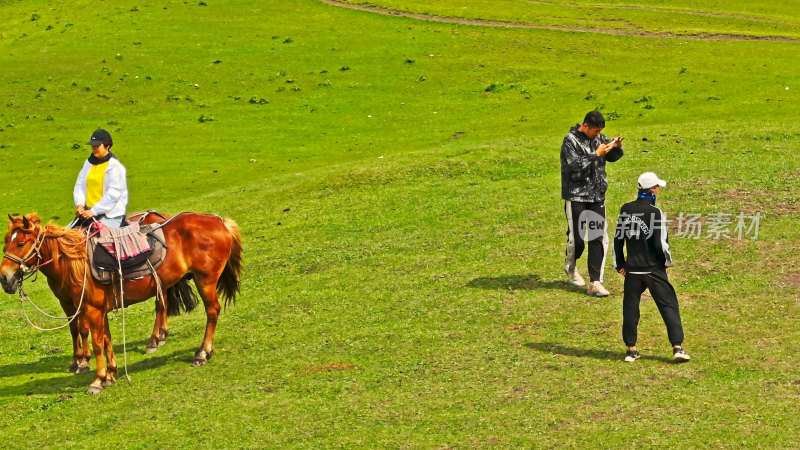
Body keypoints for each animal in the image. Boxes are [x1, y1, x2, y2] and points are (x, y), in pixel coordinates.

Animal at [1, 211, 242, 394]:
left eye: (20, 243)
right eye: (5, 243)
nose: (4, 277)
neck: (77, 262)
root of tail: (219, 221)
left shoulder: (90, 309)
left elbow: (96, 342)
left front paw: (97, 379)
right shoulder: (94, 309)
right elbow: (105, 339)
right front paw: (110, 373)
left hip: (205, 280)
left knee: (212, 311)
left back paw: (202, 353)